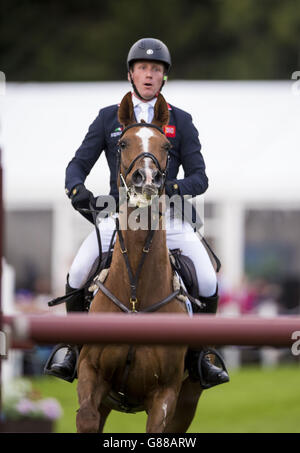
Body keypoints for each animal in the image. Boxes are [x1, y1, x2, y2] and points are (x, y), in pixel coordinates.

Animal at [75, 91, 203, 430]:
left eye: (167, 146)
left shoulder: (165, 394)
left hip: (189, 399)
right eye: (122, 143)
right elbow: (87, 417)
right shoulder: (91, 374)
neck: (135, 293)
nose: (146, 178)